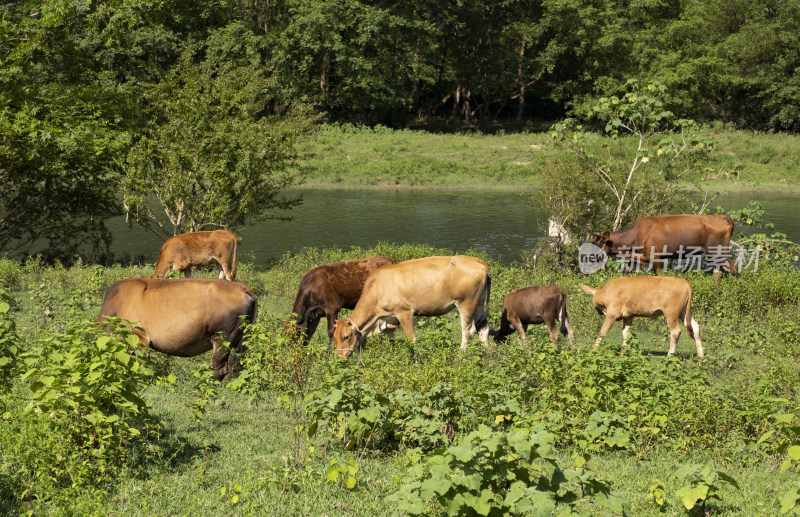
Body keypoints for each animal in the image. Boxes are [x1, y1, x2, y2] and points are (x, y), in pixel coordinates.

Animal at [94, 278, 258, 378]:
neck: (117, 304)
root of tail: (242, 287)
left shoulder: (140, 338)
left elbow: (141, 365)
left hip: (223, 339)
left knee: (220, 370)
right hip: (242, 340)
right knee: (239, 367)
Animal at [332, 255, 494, 358]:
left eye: (346, 336)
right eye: (334, 337)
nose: (339, 356)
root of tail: (475, 260)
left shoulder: (404, 312)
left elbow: (412, 339)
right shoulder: (390, 318)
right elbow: (386, 339)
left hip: (466, 303)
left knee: (467, 331)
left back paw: (460, 355)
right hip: (479, 303)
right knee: (483, 328)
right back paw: (487, 354)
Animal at [592, 214, 736, 278]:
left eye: (596, 246)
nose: (589, 259)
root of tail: (724, 218)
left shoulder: (655, 256)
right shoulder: (637, 257)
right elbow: (625, 273)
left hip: (719, 251)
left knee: (733, 269)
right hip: (713, 253)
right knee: (718, 271)